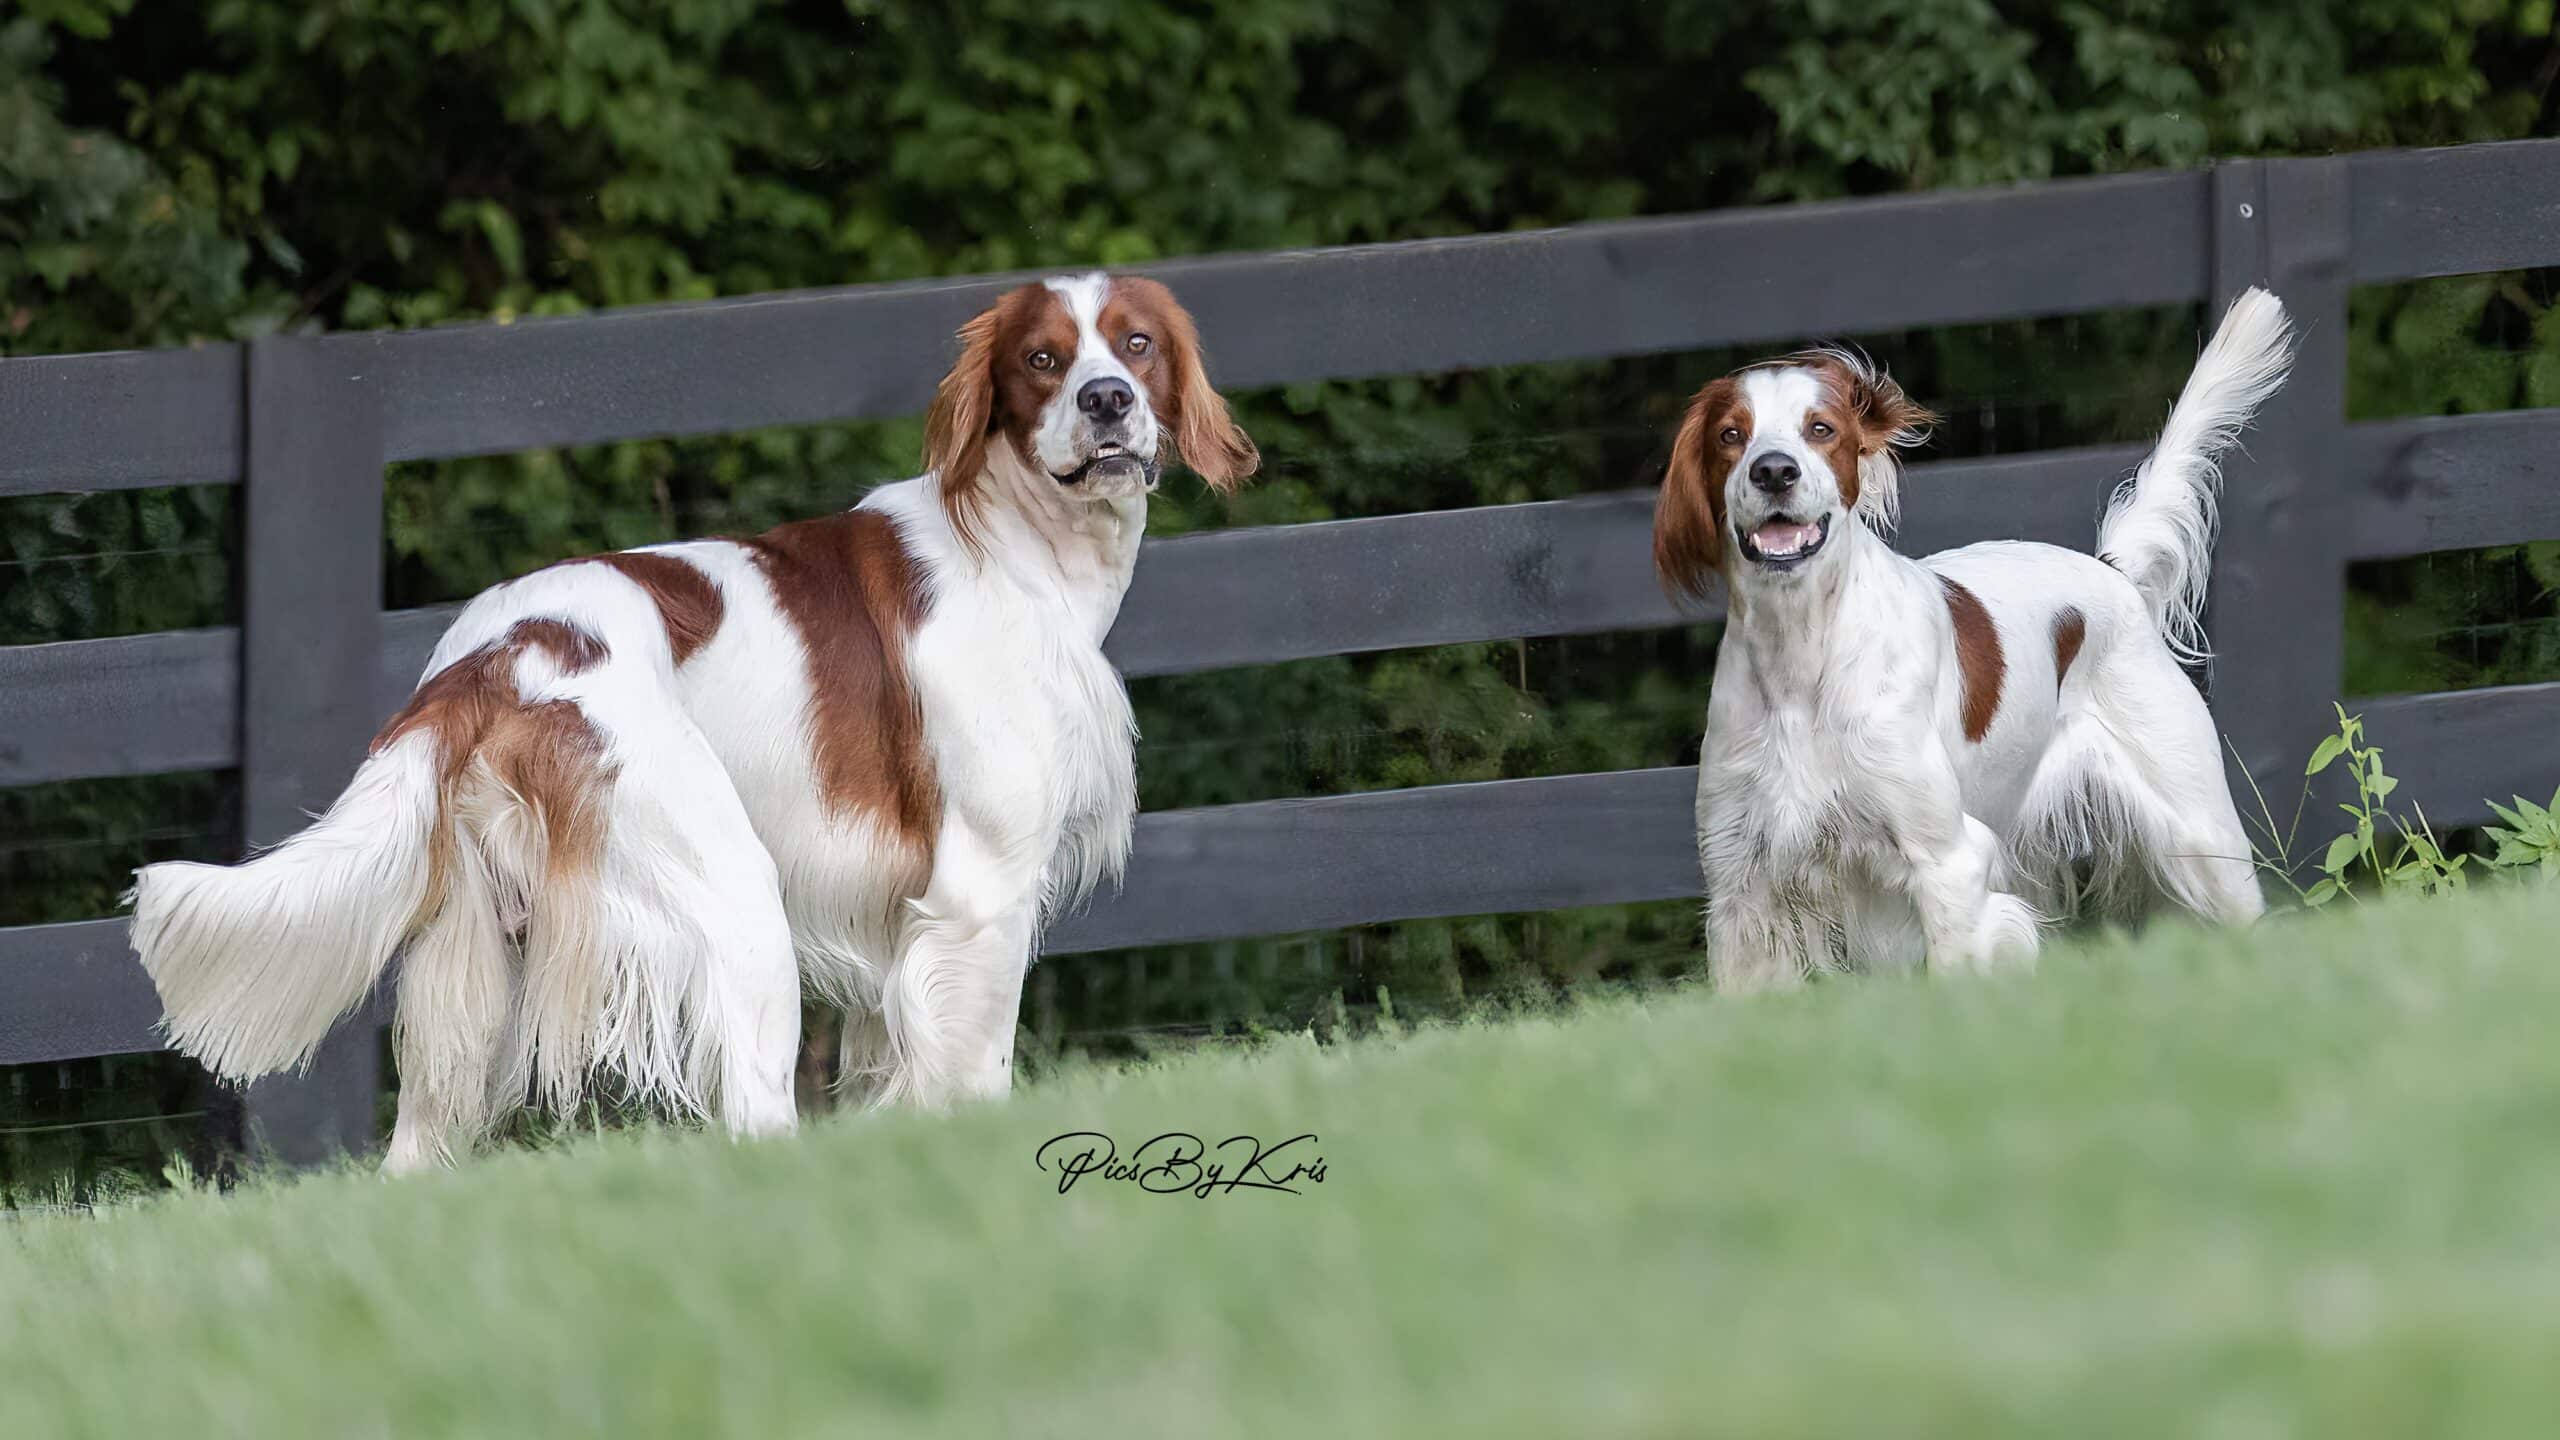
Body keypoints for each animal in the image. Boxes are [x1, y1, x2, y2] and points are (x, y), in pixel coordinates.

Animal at [1658, 288, 2304, 983]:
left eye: (1820, 429)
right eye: (1731, 435)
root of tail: (2112, 572)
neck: (1799, 660)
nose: (1773, 471)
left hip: (2205, 841)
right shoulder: (1740, 888)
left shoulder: (1946, 861)